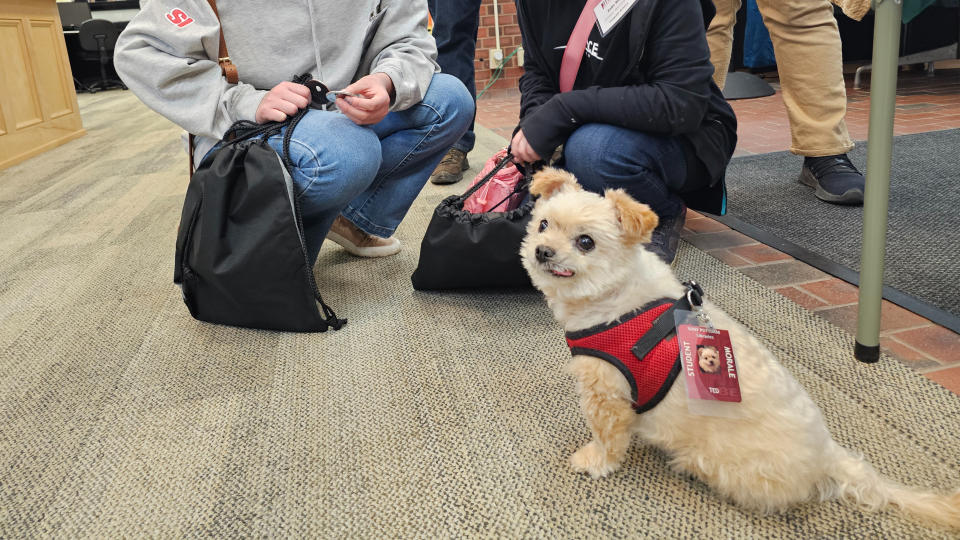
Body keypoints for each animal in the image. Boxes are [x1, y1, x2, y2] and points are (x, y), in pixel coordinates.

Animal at [520, 168, 960, 528]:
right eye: (543, 224)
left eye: (586, 242)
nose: (542, 250)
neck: (616, 300)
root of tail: (826, 452)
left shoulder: (606, 390)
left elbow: (607, 436)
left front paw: (595, 461)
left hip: (723, 462)